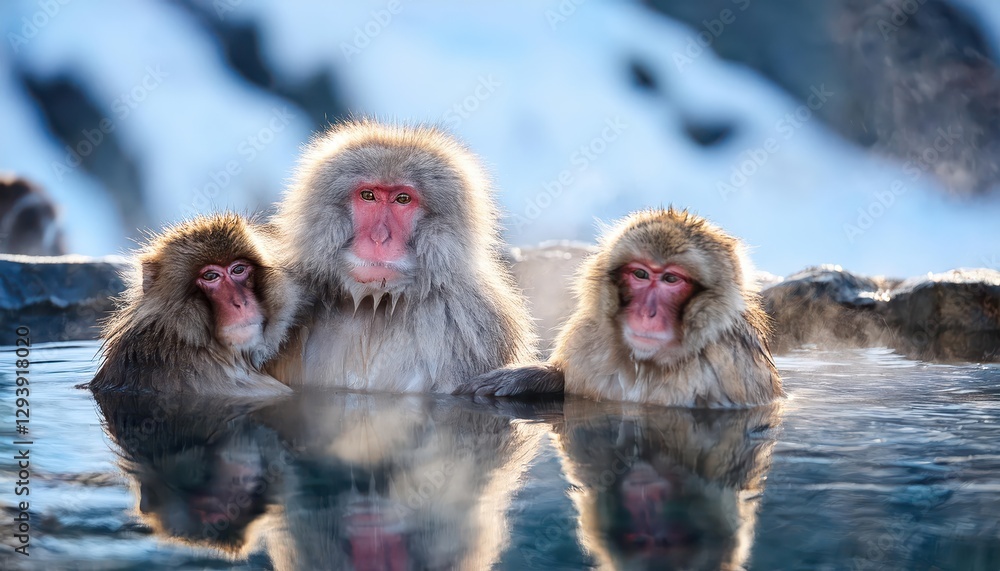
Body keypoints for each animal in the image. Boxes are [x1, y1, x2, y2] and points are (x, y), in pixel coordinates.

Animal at [465, 208, 783, 408]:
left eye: (671, 279)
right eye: (640, 274)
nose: (646, 314)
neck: (643, 366)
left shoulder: (732, 370)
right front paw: (528, 378)